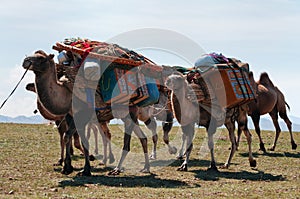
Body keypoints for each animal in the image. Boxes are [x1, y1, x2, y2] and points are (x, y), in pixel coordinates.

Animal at [22, 50, 155, 176]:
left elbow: (80, 140)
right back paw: (146, 168)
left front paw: (84, 169)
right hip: (127, 116)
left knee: (127, 143)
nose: (25, 61)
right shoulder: (71, 116)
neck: (67, 94)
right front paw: (68, 168)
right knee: (143, 137)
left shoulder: (83, 114)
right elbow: (70, 138)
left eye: (41, 58)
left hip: (129, 112)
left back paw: (117, 169)